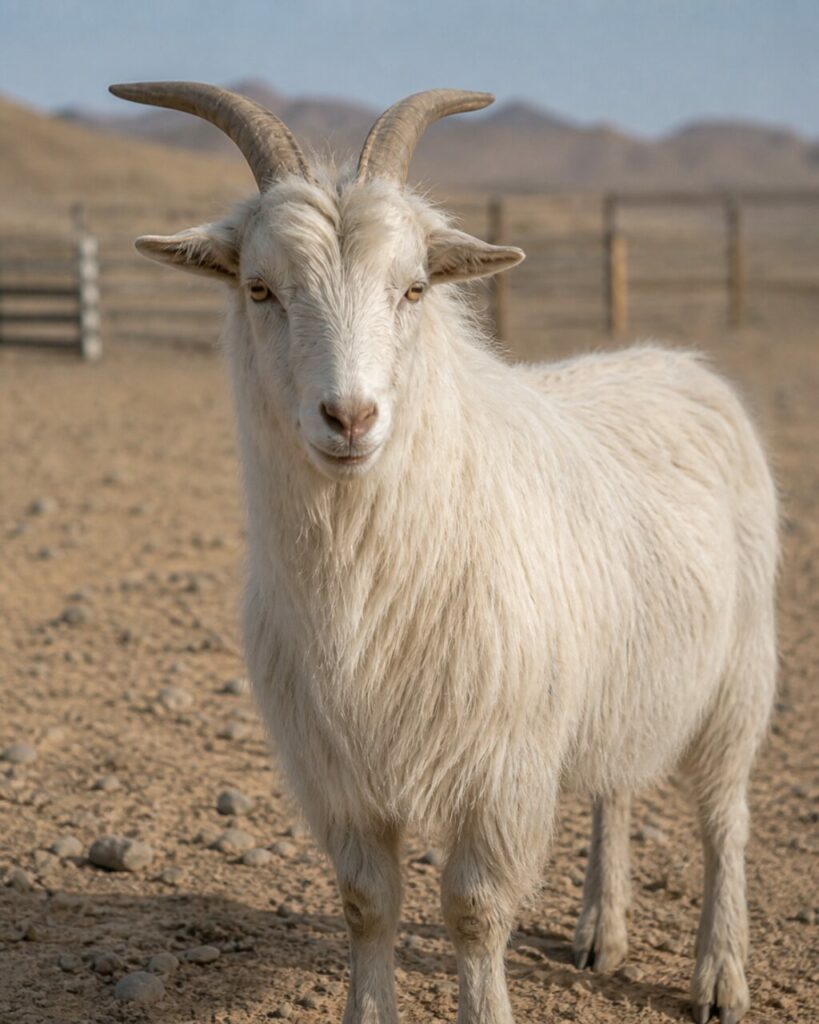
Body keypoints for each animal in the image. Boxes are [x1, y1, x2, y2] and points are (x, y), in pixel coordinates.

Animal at [111, 81, 778, 1024]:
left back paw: (719, 974)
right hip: (618, 675)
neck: (372, 572)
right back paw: (600, 932)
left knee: (724, 819)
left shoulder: (501, 769)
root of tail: (676, 360)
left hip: (737, 674)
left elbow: (474, 912)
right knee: (613, 787)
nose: (350, 417)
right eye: (259, 288)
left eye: (414, 288)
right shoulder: (336, 771)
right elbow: (366, 904)